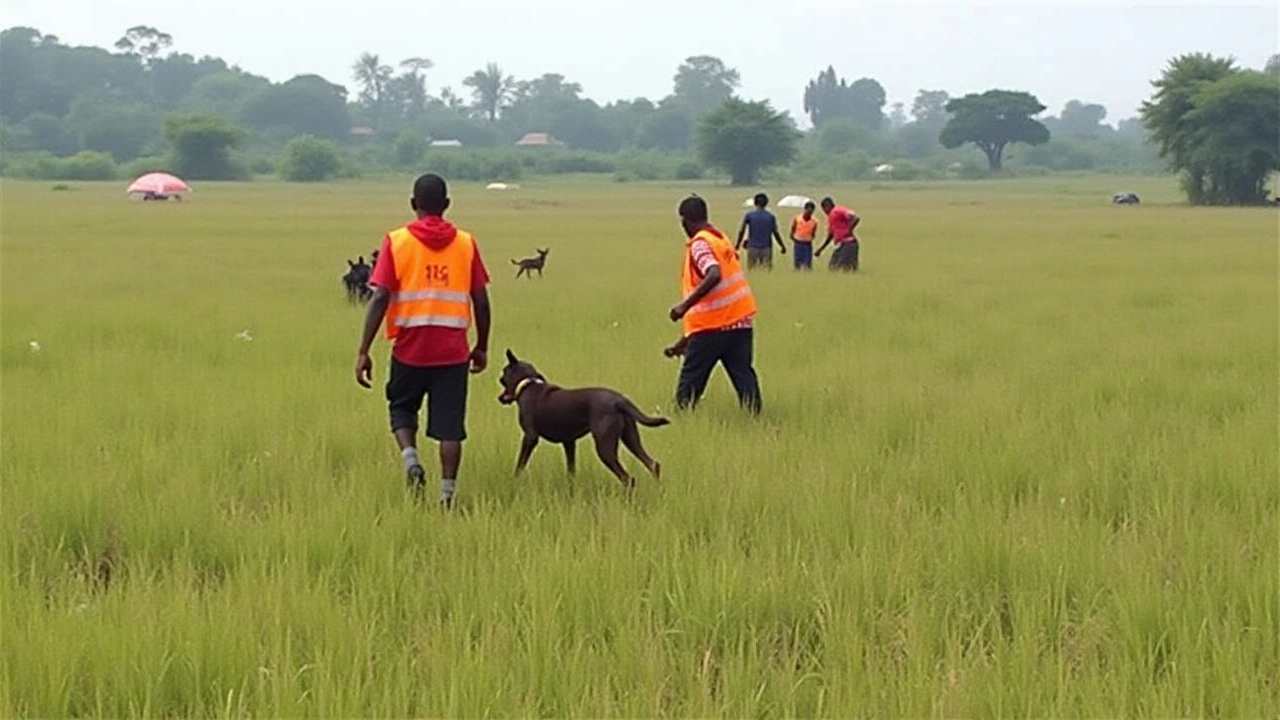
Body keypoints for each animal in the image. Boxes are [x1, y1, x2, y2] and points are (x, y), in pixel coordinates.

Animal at [491, 348, 665, 486]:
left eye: (502, 378)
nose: (499, 397)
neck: (528, 384)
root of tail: (619, 400)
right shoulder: (569, 442)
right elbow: (571, 470)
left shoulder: (530, 437)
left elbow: (520, 464)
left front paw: (514, 480)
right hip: (630, 437)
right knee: (652, 464)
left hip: (605, 446)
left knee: (628, 479)